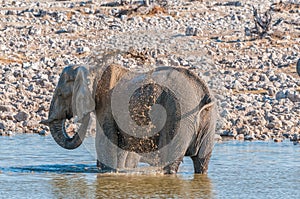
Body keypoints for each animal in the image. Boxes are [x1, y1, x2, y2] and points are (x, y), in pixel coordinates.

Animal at [41, 63, 217, 174]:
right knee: (202, 161)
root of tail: (204, 95)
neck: (93, 68)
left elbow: (105, 145)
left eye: (61, 95)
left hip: (179, 114)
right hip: (207, 121)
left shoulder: (106, 105)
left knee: (169, 162)